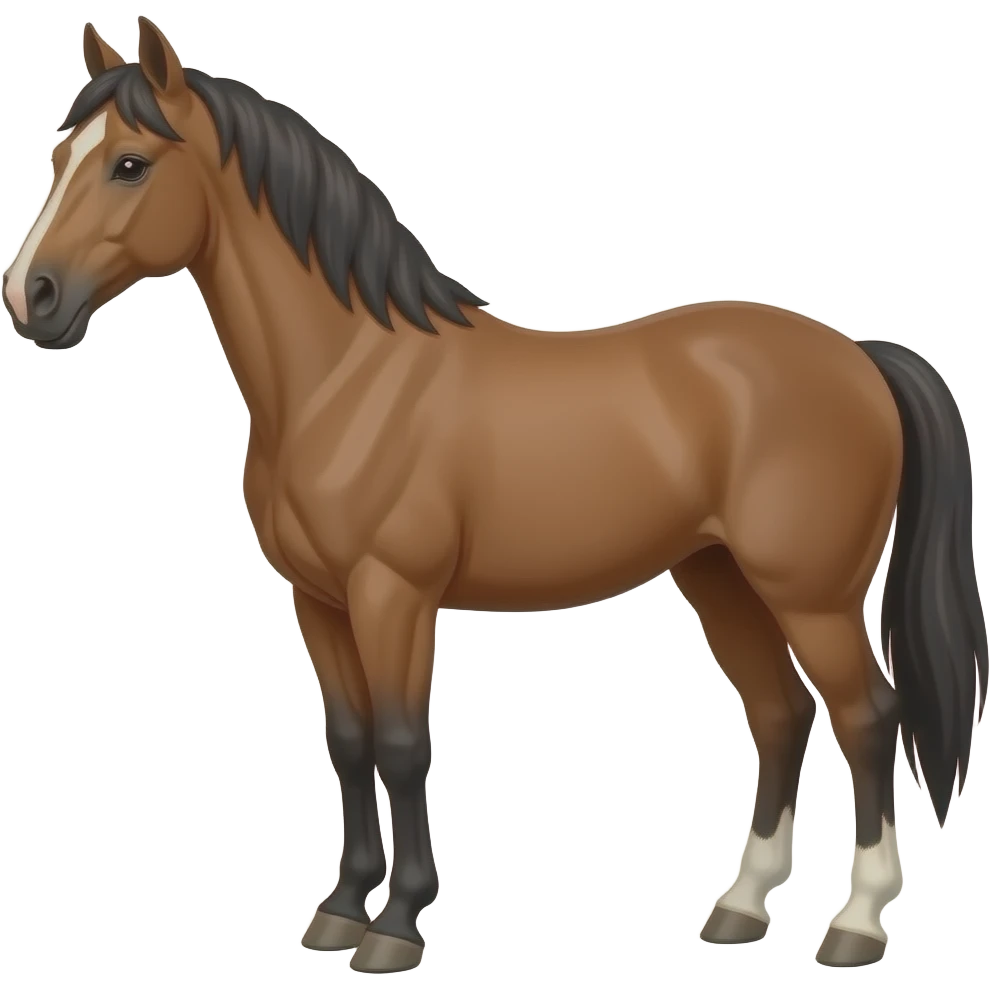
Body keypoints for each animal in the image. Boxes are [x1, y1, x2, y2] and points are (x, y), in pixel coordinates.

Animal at [2, 16, 985, 974]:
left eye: (130, 164)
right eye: (59, 156)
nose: (30, 296)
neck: (349, 377)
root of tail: (860, 357)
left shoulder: (392, 594)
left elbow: (403, 747)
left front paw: (397, 925)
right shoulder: (317, 601)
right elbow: (349, 744)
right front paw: (338, 911)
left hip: (809, 595)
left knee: (868, 719)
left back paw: (856, 923)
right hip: (720, 578)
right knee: (780, 716)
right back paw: (740, 908)